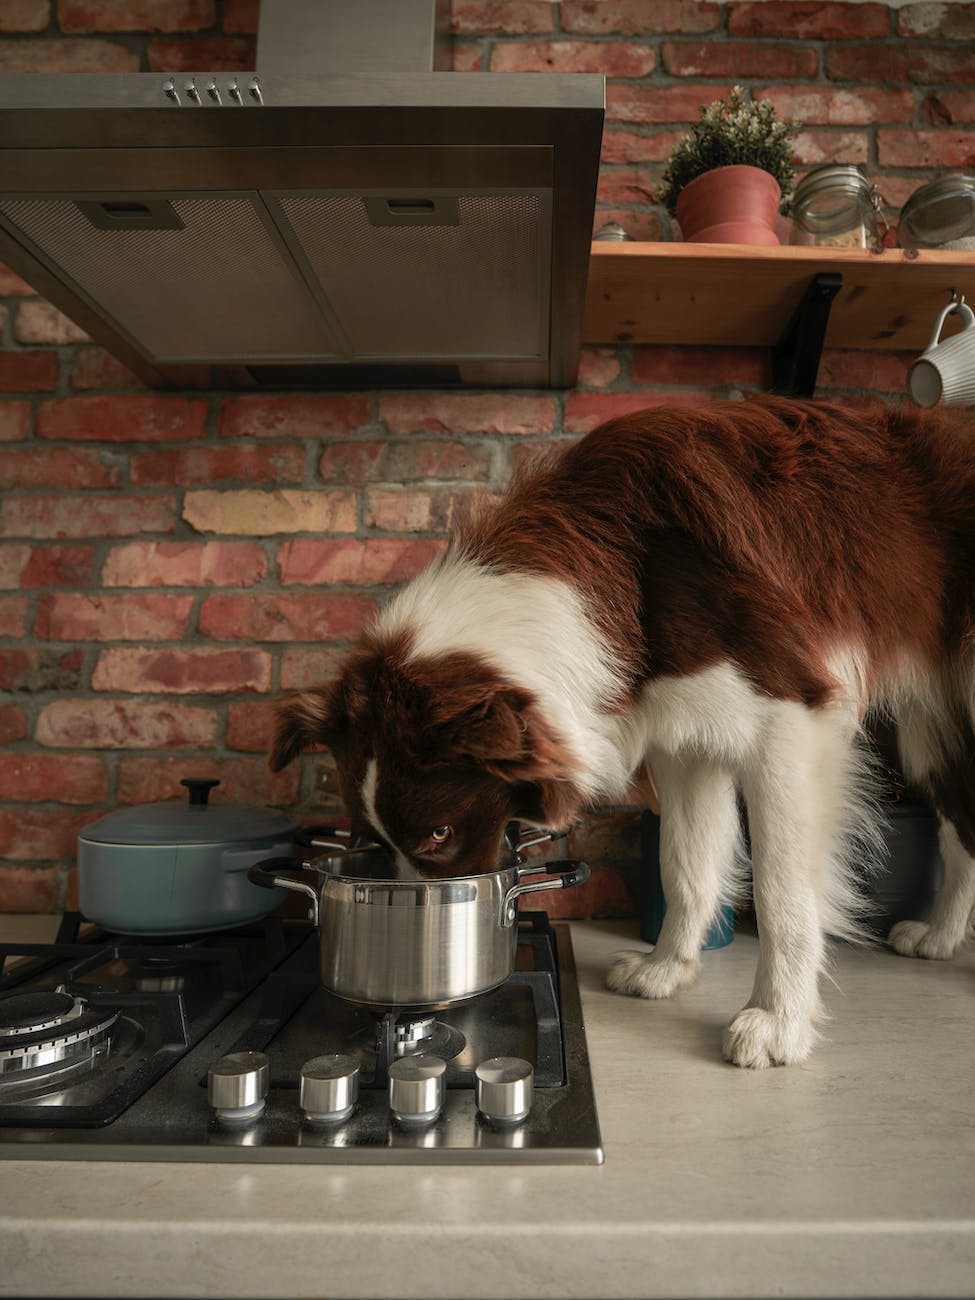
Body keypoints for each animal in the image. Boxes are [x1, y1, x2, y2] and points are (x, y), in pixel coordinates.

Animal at [271, 395, 975, 1066]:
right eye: (370, 841)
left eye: (440, 835)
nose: (418, 989)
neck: (628, 566)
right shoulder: (686, 738)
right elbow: (684, 863)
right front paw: (667, 969)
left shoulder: (791, 718)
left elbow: (782, 892)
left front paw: (777, 1022)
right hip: (932, 726)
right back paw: (939, 937)